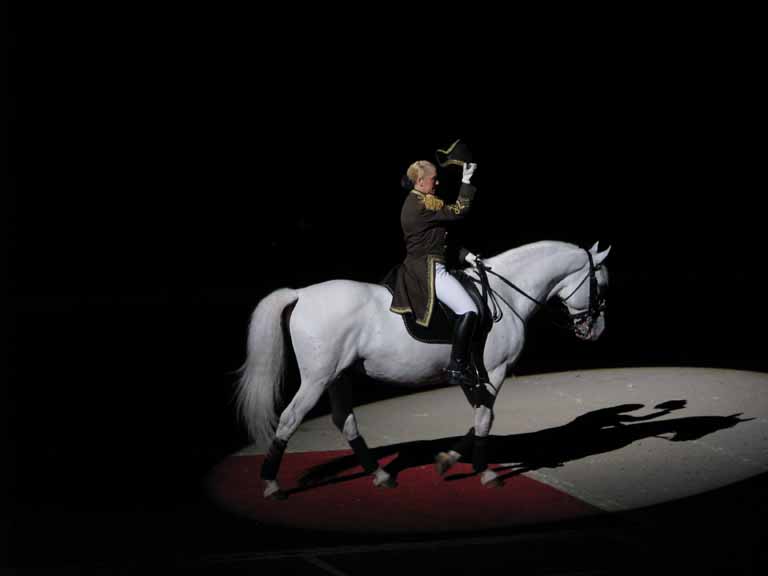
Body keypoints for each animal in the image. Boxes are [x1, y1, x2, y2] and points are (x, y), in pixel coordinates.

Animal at [237, 241, 608, 498]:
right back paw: (271, 484)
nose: (596, 331)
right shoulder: (495, 371)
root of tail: (300, 294)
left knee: (345, 420)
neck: (505, 293)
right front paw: (483, 471)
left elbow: (479, 415)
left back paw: (381, 475)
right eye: (601, 287)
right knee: (290, 419)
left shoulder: (472, 375)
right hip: (317, 378)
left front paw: (447, 460)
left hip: (338, 376)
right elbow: (485, 417)